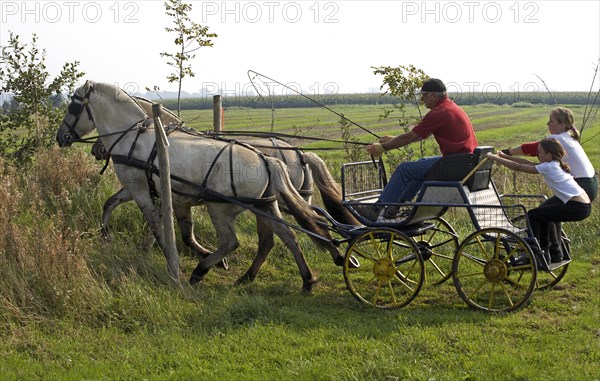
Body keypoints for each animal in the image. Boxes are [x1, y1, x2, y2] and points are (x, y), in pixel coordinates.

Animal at [56, 80, 344, 290]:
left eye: (72, 108)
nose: (61, 137)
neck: (136, 137)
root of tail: (266, 160)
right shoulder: (148, 190)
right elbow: (113, 204)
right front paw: (107, 234)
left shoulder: (141, 190)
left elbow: (157, 225)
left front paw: (171, 259)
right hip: (265, 206)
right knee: (288, 237)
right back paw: (306, 279)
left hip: (221, 209)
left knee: (233, 242)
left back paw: (202, 270)